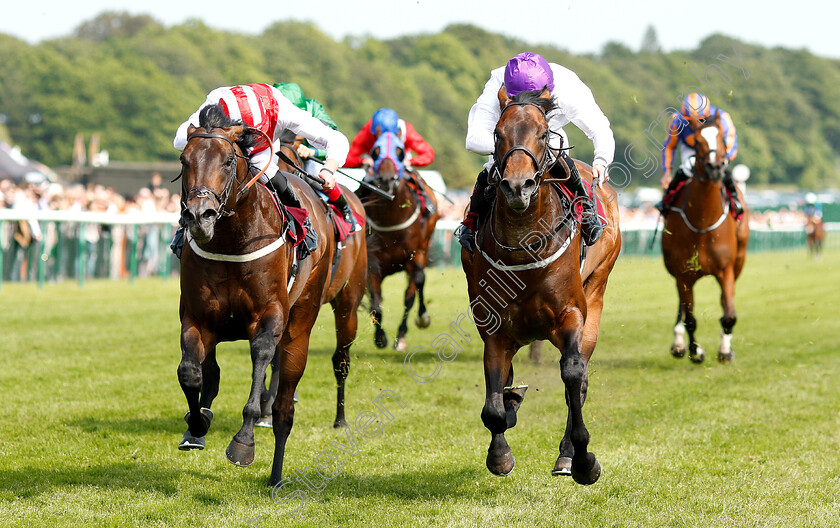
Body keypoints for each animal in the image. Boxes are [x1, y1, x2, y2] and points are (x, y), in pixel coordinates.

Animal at [177, 104, 368, 486]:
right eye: (183, 160)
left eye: (227, 161)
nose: (199, 216)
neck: (231, 240)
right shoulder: (197, 317)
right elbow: (192, 372)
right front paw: (197, 424)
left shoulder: (270, 316)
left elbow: (262, 358)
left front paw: (244, 441)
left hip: (329, 310)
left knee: (293, 399)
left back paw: (281, 470)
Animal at [360, 131, 440, 350]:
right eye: (375, 151)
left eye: (400, 151)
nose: (387, 179)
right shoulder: (372, 261)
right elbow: (376, 301)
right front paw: (380, 337)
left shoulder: (414, 256)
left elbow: (411, 293)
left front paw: (402, 336)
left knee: (419, 282)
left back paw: (422, 317)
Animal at [664, 114, 748, 366]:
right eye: (698, 141)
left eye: (721, 138)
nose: (716, 168)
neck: (701, 224)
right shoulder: (683, 274)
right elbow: (690, 318)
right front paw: (695, 351)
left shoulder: (726, 270)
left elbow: (729, 315)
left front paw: (725, 351)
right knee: (682, 307)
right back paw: (678, 343)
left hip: (738, 263)